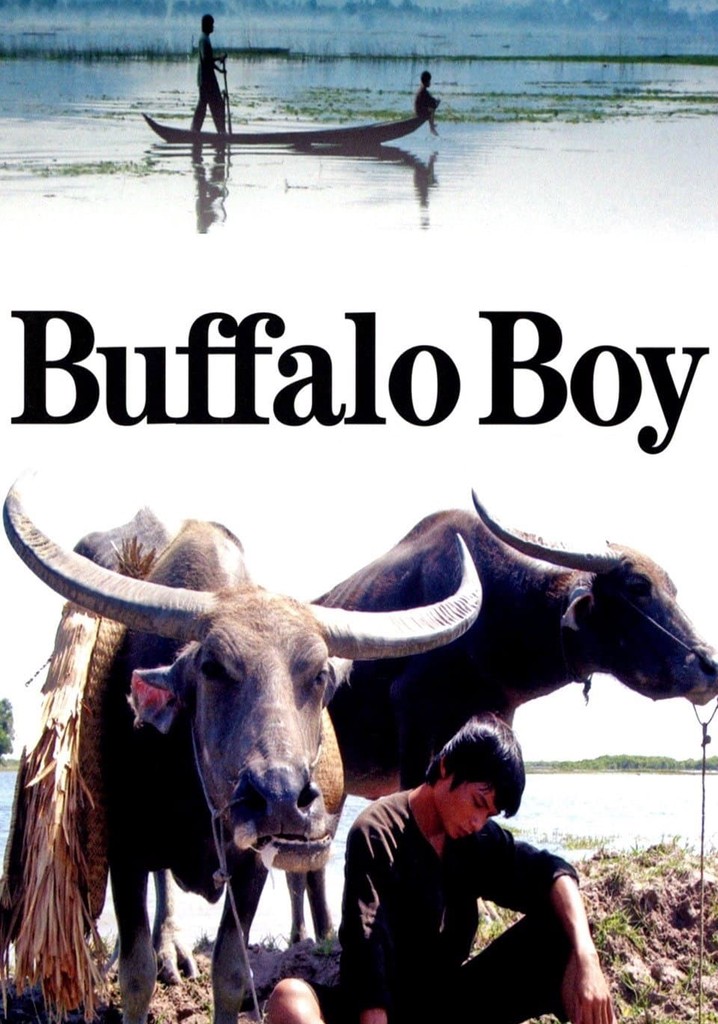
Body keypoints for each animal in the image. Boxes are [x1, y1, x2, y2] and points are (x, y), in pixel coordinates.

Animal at [2, 480, 482, 1024]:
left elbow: (232, 971)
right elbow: (136, 973)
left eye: (320, 674)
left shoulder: (251, 865)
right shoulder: (125, 853)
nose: (280, 799)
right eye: (212, 667)